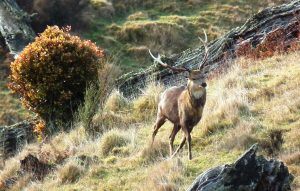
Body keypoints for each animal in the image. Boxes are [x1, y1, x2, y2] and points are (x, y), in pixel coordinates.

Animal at [148, 31, 209, 160]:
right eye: (193, 78)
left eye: (203, 75)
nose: (204, 84)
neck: (193, 109)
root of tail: (162, 94)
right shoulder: (183, 120)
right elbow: (188, 138)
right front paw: (190, 157)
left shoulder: (192, 123)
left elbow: (183, 140)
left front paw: (179, 154)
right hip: (161, 114)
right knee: (154, 129)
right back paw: (151, 146)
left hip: (176, 123)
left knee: (170, 137)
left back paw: (171, 154)